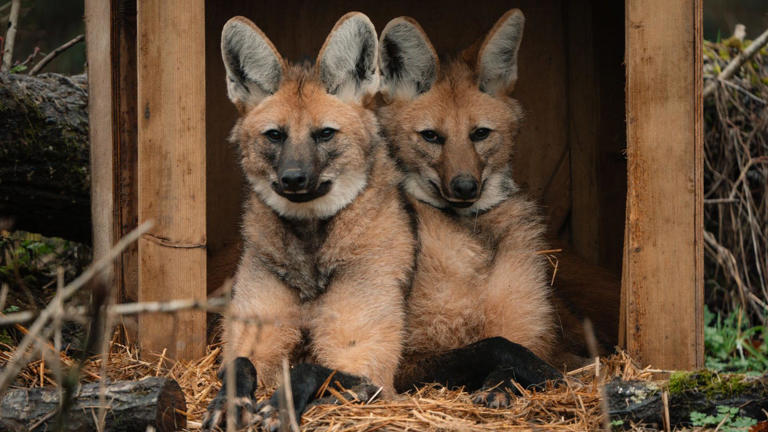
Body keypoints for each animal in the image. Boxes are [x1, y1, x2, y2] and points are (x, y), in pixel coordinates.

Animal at [202, 12, 415, 430]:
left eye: (325, 134)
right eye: (275, 135)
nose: (294, 179)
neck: (310, 255)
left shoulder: (369, 365)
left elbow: (311, 369)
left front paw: (277, 408)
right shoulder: (253, 335)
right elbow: (240, 362)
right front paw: (228, 403)